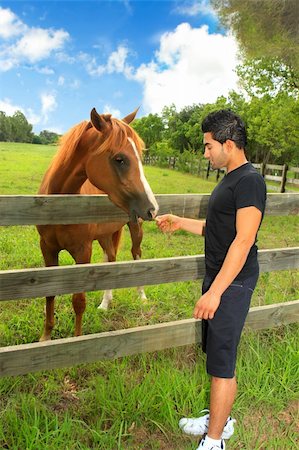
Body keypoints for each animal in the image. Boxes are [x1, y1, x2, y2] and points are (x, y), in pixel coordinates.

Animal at [37, 108, 159, 342]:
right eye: (120, 159)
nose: (153, 208)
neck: (59, 204)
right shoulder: (47, 248)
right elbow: (49, 293)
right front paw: (45, 338)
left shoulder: (83, 252)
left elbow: (78, 300)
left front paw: (76, 340)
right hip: (105, 236)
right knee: (110, 260)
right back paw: (105, 303)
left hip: (135, 229)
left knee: (136, 254)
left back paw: (142, 296)